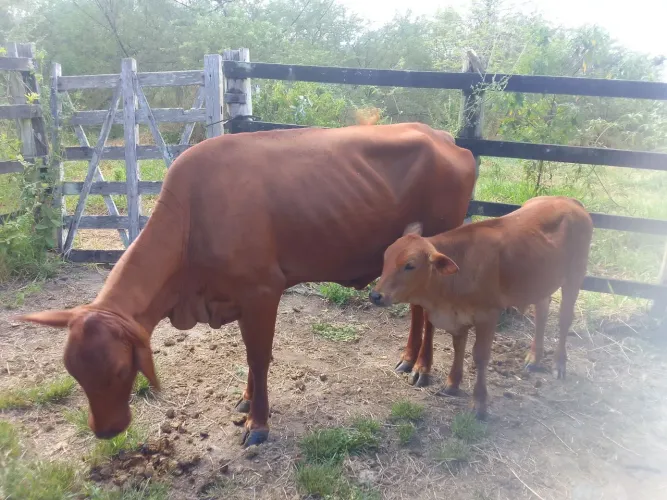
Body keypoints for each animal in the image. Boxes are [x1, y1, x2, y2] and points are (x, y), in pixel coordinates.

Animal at [17, 122, 476, 447]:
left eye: (117, 369)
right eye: (72, 370)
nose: (105, 431)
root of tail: (444, 138)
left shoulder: (261, 292)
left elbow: (259, 357)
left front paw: (258, 423)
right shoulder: (236, 297)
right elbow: (250, 358)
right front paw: (246, 399)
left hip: (435, 248)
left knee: (427, 309)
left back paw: (423, 368)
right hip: (407, 259)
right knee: (416, 307)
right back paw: (407, 358)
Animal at [369, 196, 593, 419]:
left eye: (410, 265)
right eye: (385, 258)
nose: (375, 295)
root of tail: (568, 200)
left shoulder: (488, 315)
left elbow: (480, 356)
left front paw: (479, 403)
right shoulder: (458, 317)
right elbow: (458, 348)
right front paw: (452, 384)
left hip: (575, 276)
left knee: (565, 319)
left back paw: (559, 363)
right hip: (541, 283)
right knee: (542, 312)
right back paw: (534, 357)